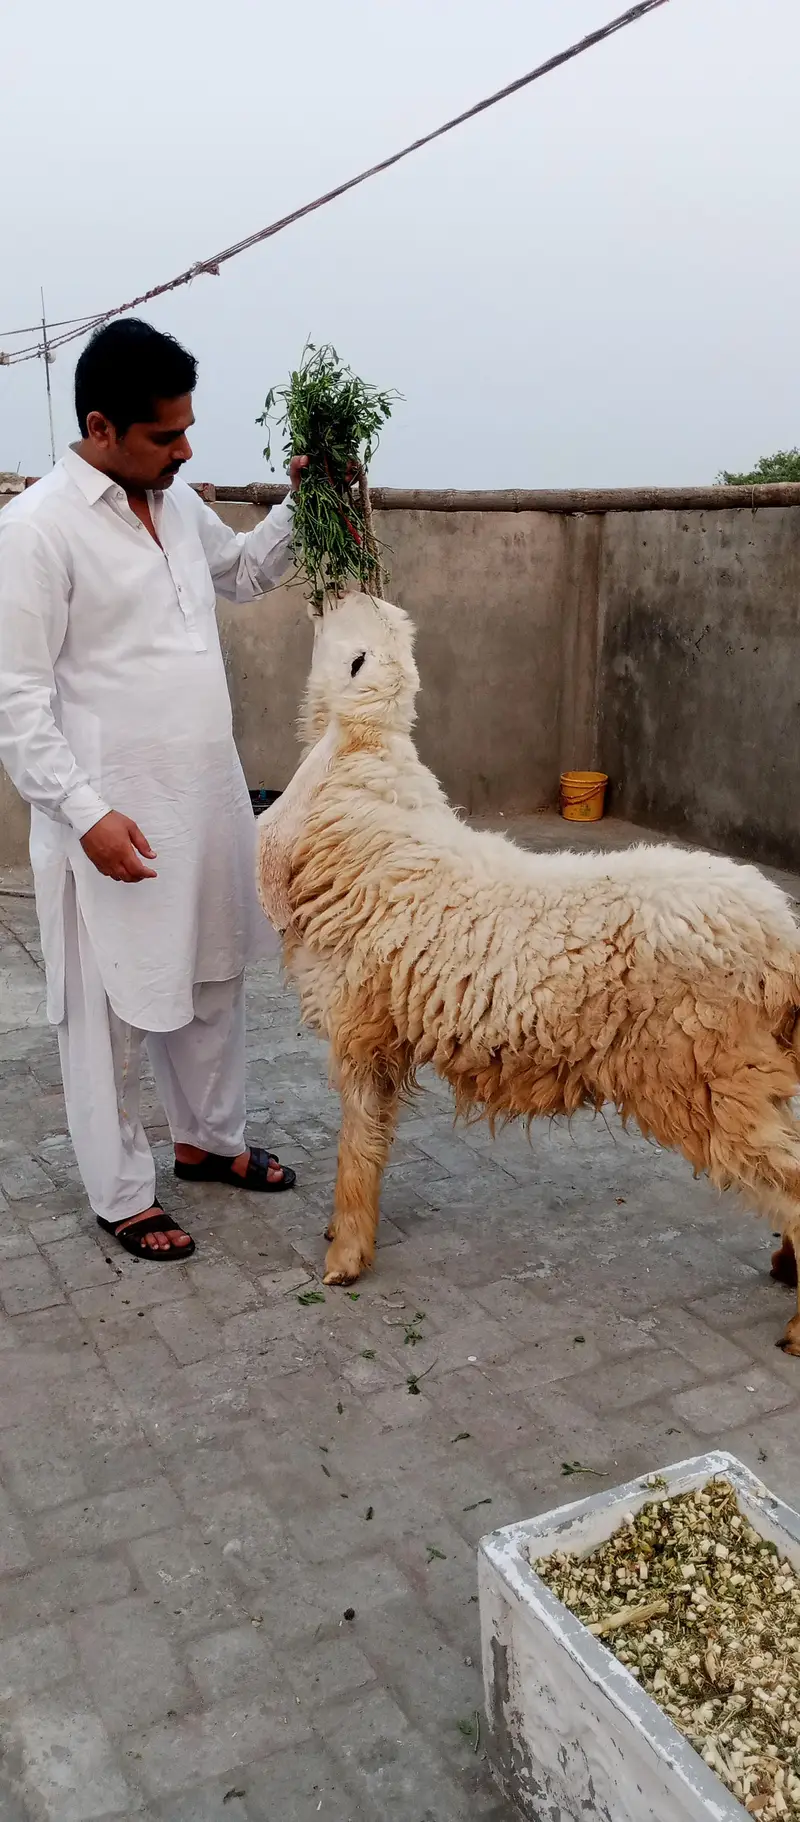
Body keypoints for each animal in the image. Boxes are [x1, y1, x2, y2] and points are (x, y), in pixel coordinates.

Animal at [257, 590, 800, 1353]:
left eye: (357, 654)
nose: (340, 590)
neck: (366, 805)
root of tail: (784, 940)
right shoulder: (387, 1032)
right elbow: (373, 1138)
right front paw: (346, 1235)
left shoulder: (361, 1028)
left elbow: (355, 1145)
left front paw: (344, 1258)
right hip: (749, 1072)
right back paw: (786, 1266)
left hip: (708, 1072)